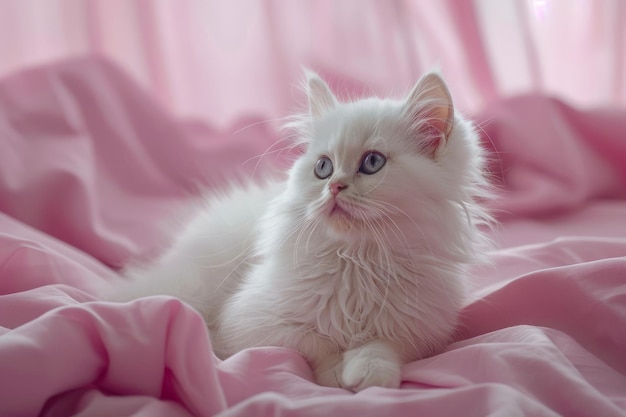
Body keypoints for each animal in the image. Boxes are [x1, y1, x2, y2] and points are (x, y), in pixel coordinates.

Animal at [113, 70, 492, 390]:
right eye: (323, 168)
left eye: (372, 163)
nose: (334, 187)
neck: (357, 260)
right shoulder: (251, 321)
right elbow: (314, 342)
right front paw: (336, 374)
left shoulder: (419, 328)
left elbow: (383, 346)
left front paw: (370, 373)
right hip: (193, 285)